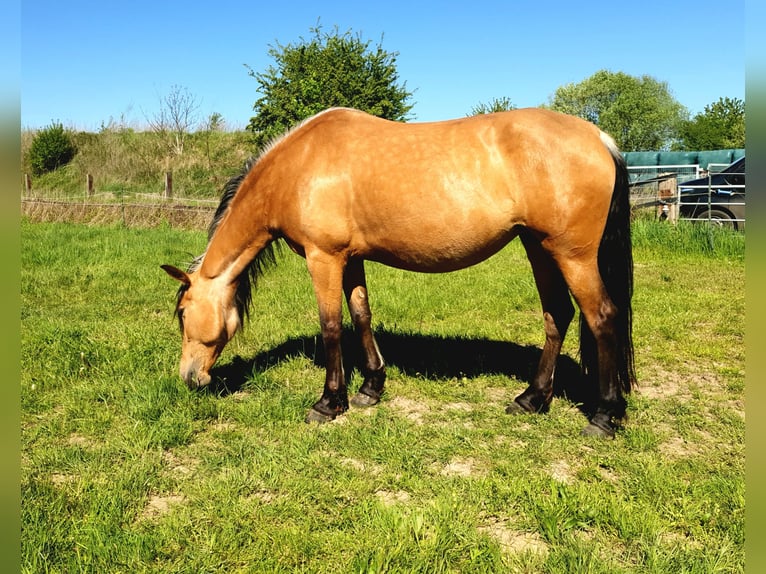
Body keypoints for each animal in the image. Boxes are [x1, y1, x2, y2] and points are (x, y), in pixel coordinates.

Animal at [162, 107, 635, 438]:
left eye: (183, 313)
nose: (189, 378)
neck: (297, 167)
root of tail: (599, 138)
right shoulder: (351, 259)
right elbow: (361, 316)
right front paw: (370, 389)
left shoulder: (324, 258)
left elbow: (331, 325)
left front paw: (328, 402)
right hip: (539, 248)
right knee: (558, 315)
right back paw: (532, 399)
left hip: (572, 255)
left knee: (602, 317)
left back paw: (604, 416)